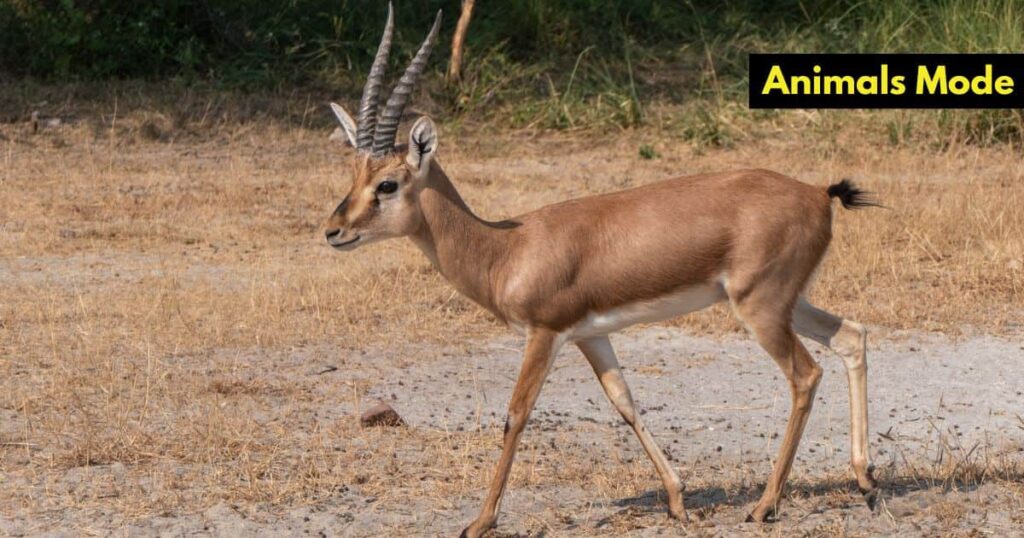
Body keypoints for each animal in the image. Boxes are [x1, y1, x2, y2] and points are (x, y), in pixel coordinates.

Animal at [322, 5, 878, 536]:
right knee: (851, 335)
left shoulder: (544, 334)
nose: (333, 230)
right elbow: (625, 402)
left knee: (805, 374)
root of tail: (817, 194)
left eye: (388, 184)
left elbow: (516, 414)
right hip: (786, 301)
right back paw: (866, 482)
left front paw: (480, 522)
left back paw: (765, 506)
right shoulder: (591, 335)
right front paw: (678, 502)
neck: (508, 249)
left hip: (760, 308)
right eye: (354, 174)